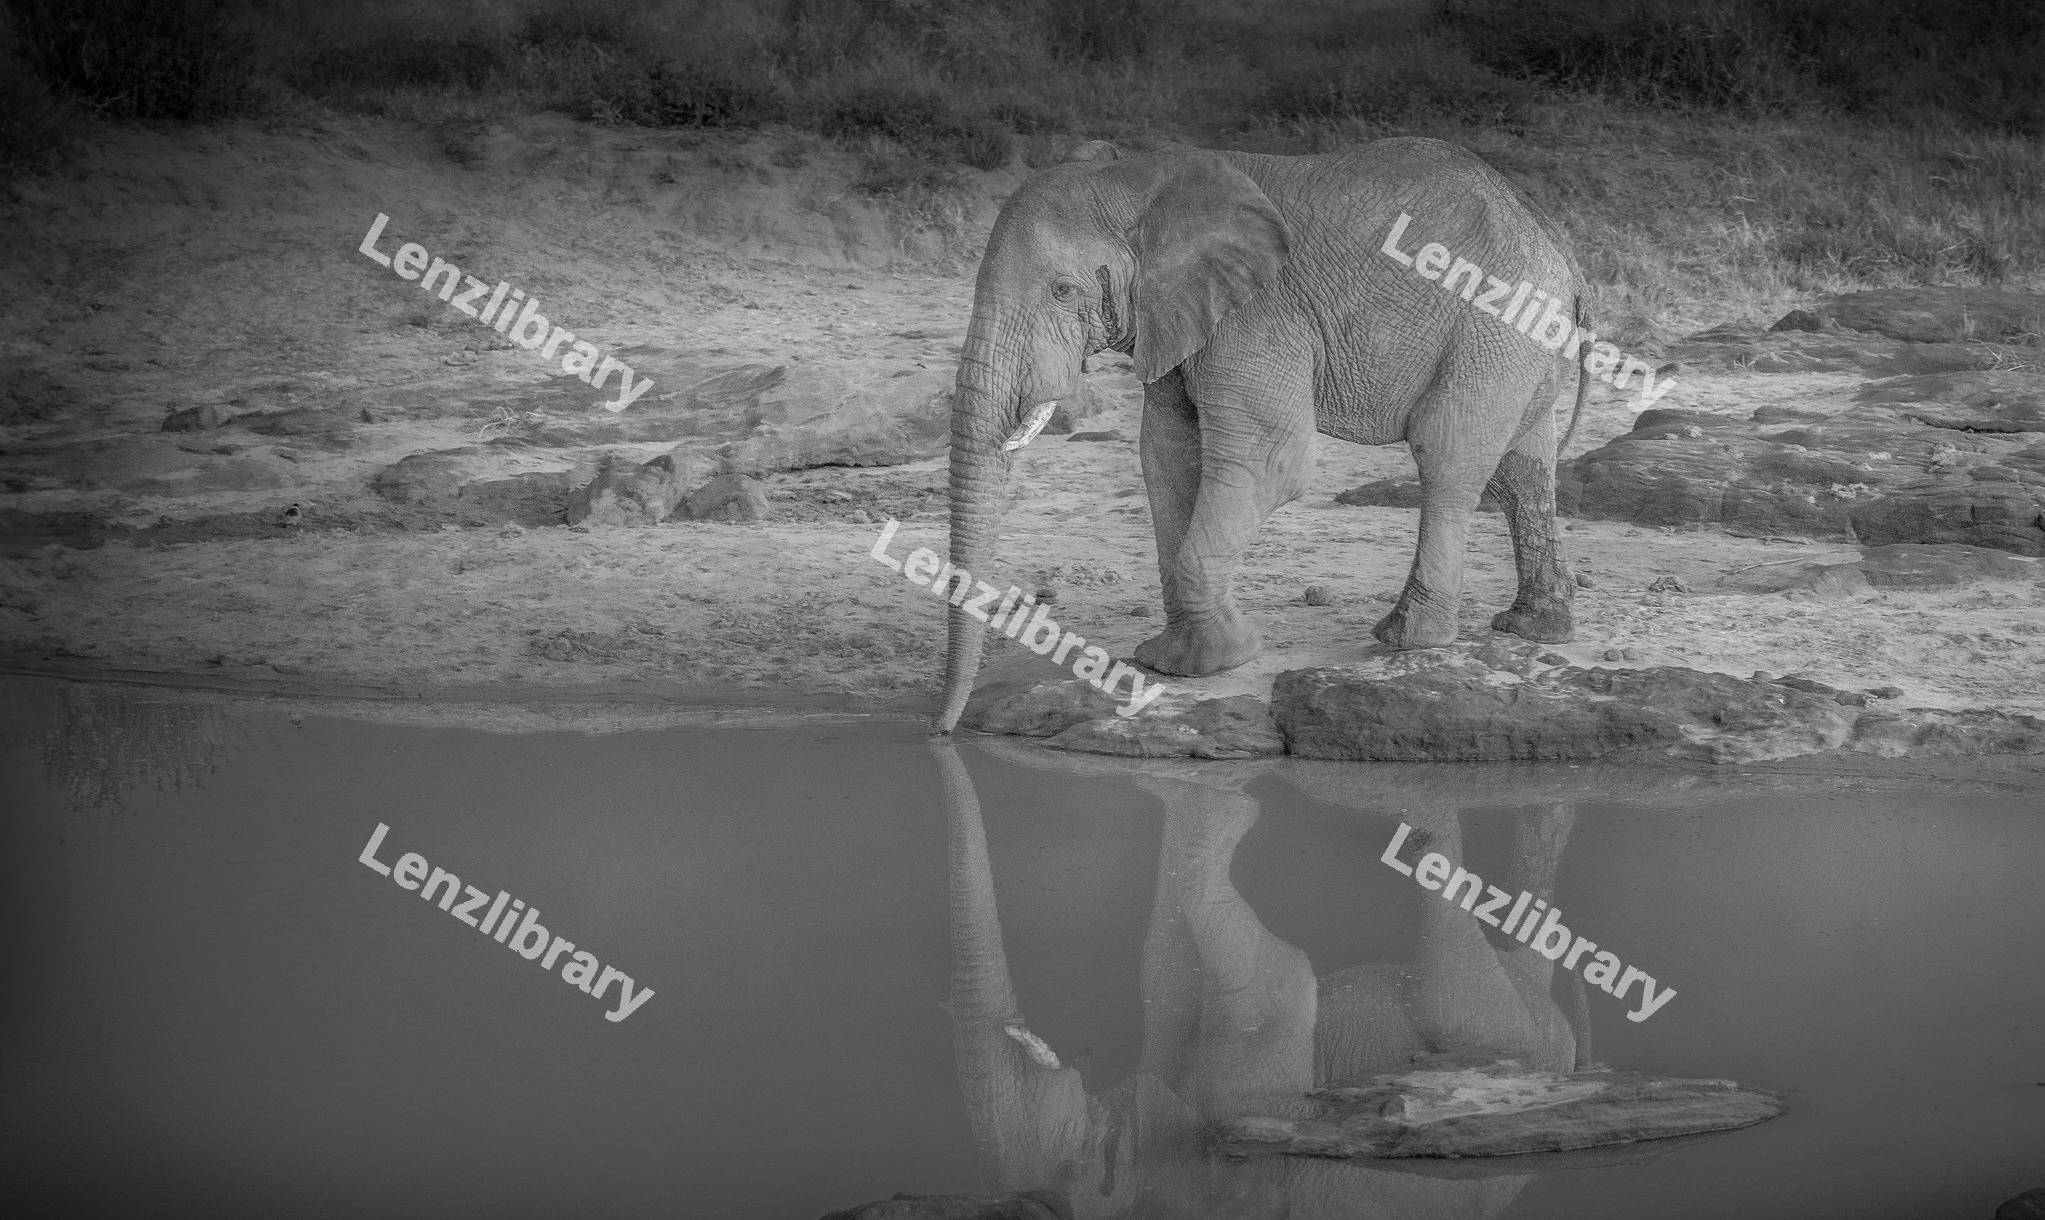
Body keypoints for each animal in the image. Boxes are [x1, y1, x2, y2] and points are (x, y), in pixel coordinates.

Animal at [934, 137, 1586, 732]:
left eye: (1063, 291)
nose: (942, 730)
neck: (1139, 180)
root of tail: (1559, 245)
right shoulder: (1180, 318)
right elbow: (1166, 456)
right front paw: (1170, 660)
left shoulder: (1257, 316)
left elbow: (1271, 462)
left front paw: (1215, 663)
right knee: (1523, 468)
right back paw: (1534, 627)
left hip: (1493, 330)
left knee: (1447, 456)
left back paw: (1407, 639)